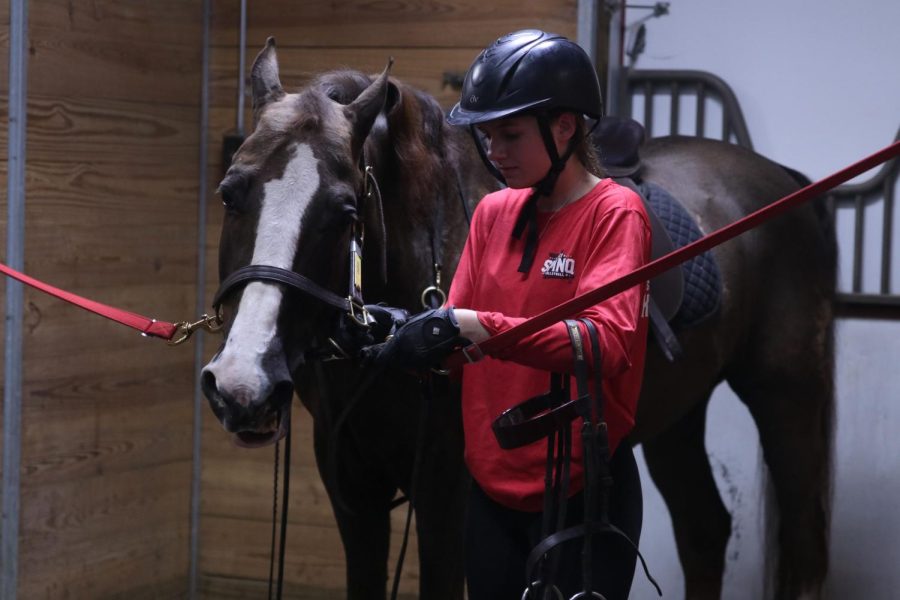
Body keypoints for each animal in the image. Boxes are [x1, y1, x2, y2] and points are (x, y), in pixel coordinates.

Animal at [200, 39, 832, 596]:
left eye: (345, 211)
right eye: (230, 193)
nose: (242, 384)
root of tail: (780, 176)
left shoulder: (446, 492)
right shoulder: (352, 488)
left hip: (788, 396)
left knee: (803, 548)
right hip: (677, 415)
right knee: (704, 531)